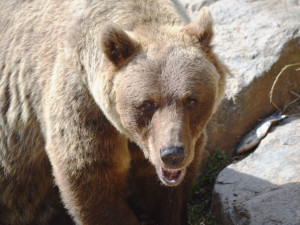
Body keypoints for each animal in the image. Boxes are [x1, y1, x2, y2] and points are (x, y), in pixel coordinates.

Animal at [0, 0, 225, 225]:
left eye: (192, 100)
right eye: (147, 104)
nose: (172, 154)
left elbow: (167, 193)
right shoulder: (84, 106)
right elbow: (92, 177)